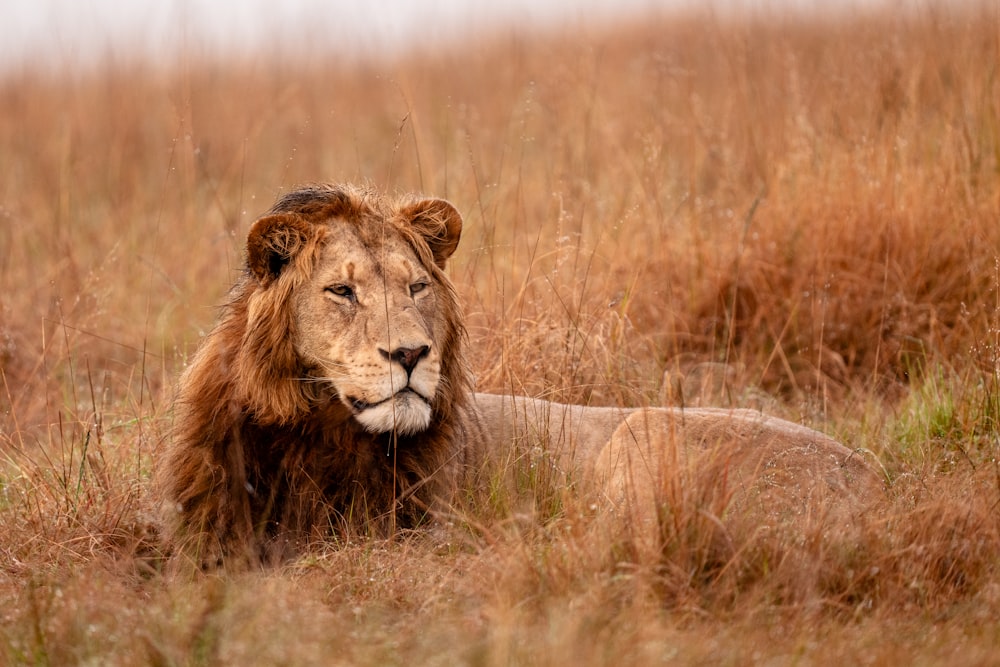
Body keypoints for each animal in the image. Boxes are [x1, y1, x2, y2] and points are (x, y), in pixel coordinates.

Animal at [162, 183, 884, 568]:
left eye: (417, 285)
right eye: (342, 291)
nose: (411, 354)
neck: (313, 429)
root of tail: (877, 481)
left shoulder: (420, 531)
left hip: (645, 434)